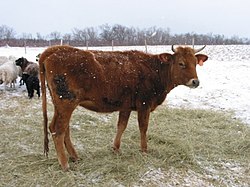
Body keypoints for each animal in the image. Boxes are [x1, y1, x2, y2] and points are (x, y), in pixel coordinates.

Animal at [39, 44, 208, 170]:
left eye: (195, 63)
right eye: (181, 63)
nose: (195, 81)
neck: (155, 70)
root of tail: (55, 49)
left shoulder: (125, 105)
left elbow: (121, 126)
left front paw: (116, 149)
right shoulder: (144, 104)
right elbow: (143, 127)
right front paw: (144, 150)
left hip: (61, 104)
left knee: (61, 128)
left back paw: (75, 157)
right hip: (66, 102)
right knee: (58, 130)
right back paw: (65, 165)